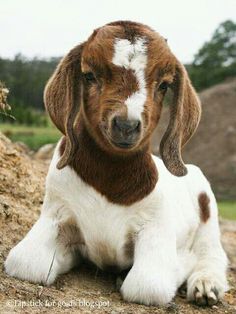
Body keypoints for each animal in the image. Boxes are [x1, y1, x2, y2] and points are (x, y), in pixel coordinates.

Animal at [4, 21, 228, 306]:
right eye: (89, 76)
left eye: (164, 85)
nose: (126, 126)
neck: (111, 180)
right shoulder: (57, 213)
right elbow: (26, 263)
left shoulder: (156, 227)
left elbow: (147, 285)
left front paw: (182, 263)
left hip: (208, 211)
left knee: (213, 253)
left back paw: (206, 285)